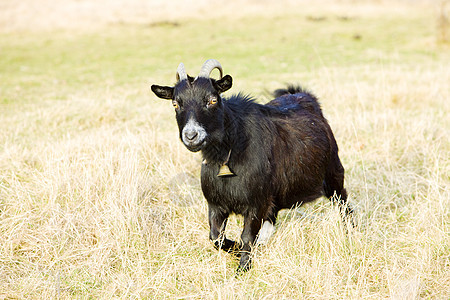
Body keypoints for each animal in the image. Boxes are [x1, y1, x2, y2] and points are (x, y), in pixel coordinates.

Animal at [153, 59, 354, 274]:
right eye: (175, 103)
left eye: (213, 100)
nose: (191, 135)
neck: (229, 151)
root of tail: (304, 96)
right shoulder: (216, 203)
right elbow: (216, 237)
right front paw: (237, 251)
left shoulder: (256, 203)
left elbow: (247, 236)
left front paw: (242, 267)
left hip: (333, 174)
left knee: (344, 204)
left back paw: (351, 232)